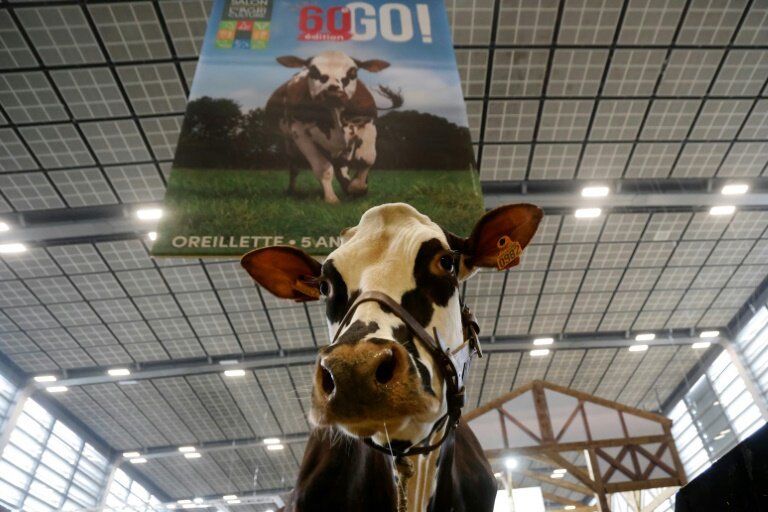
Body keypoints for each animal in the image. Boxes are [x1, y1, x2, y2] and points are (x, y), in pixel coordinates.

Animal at [265, 51, 402, 204]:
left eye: (353, 72)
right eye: (313, 71)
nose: (333, 93)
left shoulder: (367, 123)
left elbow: (367, 159)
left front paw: (357, 187)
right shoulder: (299, 132)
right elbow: (322, 168)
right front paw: (331, 198)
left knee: (341, 166)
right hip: (290, 142)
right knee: (294, 166)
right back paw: (291, 190)